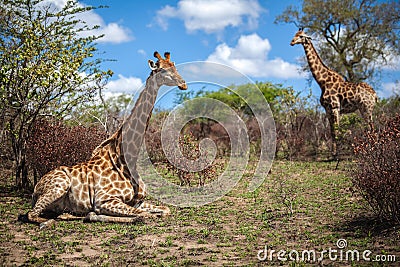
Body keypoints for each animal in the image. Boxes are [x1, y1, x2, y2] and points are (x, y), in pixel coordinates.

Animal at [19, 52, 188, 230]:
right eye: (162, 69)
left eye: (174, 66)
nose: (183, 84)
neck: (127, 158)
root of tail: (35, 189)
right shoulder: (104, 199)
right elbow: (144, 215)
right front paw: (95, 215)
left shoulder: (138, 202)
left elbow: (165, 209)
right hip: (59, 185)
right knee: (32, 214)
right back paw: (49, 222)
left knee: (56, 213)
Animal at [290, 29, 376, 159]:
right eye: (295, 35)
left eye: (301, 36)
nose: (292, 42)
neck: (322, 82)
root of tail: (375, 95)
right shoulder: (328, 109)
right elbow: (332, 131)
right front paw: (333, 154)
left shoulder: (335, 107)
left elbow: (336, 130)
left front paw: (337, 155)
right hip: (364, 109)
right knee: (370, 127)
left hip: (366, 108)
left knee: (371, 127)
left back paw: (371, 151)